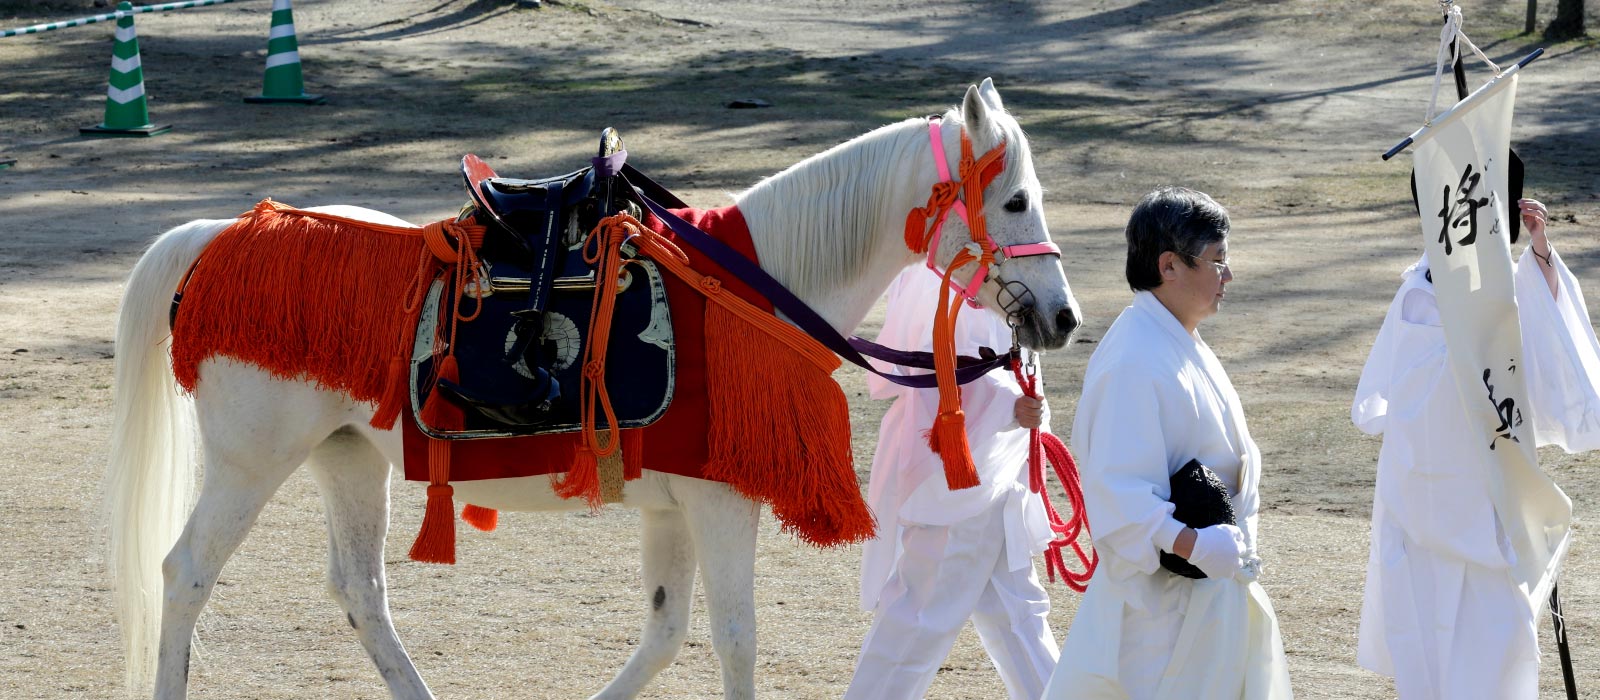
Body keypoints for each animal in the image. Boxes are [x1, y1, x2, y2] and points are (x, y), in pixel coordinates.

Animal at [106, 79, 1081, 696]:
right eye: (1016, 202)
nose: (1064, 317)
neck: (751, 284)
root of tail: (223, 234)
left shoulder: (672, 508)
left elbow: (664, 634)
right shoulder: (723, 504)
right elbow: (735, 642)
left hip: (348, 460)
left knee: (361, 595)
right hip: (249, 464)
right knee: (185, 575)